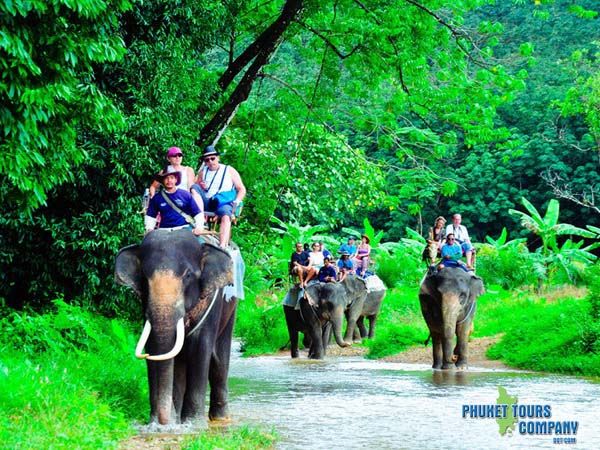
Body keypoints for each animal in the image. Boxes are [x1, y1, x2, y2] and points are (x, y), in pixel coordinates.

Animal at [113, 229, 240, 426]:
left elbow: (200, 349)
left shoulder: (211, 303)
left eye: (187, 276)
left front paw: (193, 424)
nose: (164, 421)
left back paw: (220, 418)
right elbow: (154, 349)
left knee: (219, 362)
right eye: (144, 277)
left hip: (230, 309)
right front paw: (159, 423)